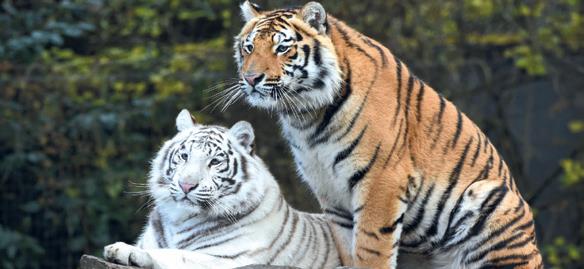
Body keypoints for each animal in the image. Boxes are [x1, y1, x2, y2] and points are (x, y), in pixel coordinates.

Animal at [102, 109, 340, 268]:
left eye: (215, 161)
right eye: (184, 156)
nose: (186, 185)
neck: (179, 219)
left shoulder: (228, 258)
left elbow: (175, 254)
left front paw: (124, 250)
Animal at [232, 2, 544, 268]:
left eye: (282, 48)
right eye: (249, 48)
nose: (251, 78)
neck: (306, 116)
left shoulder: (380, 181)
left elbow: (370, 248)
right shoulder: (330, 193)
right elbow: (349, 249)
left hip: (490, 201)